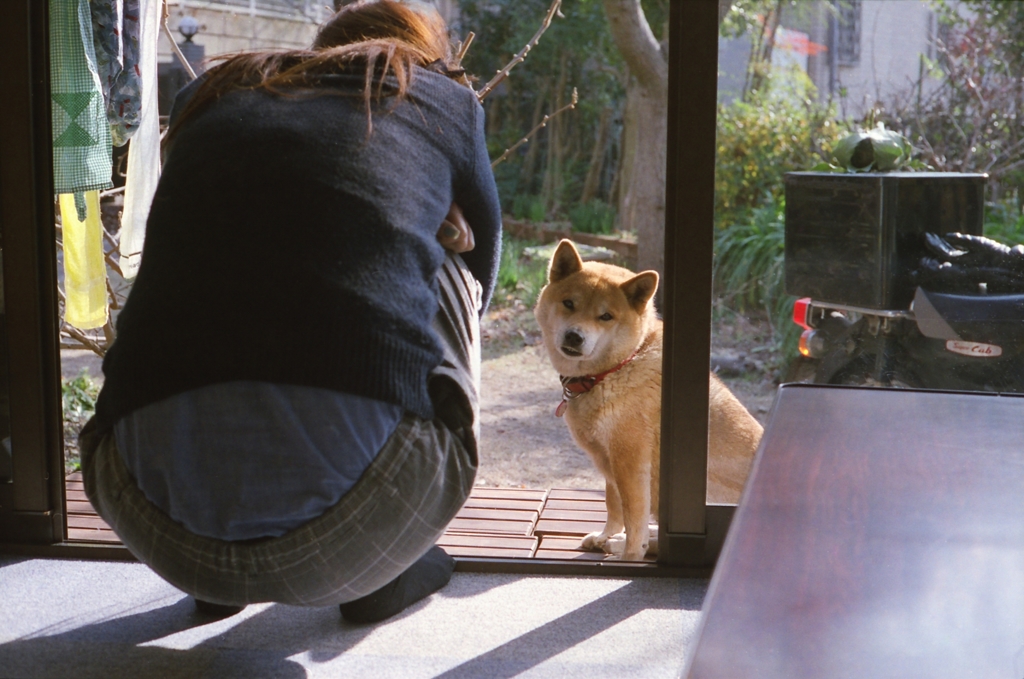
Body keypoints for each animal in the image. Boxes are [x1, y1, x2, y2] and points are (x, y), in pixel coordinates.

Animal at [536, 241, 761, 561]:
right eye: (569, 303)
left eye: (606, 316)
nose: (574, 336)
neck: (619, 366)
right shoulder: (609, 460)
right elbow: (614, 506)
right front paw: (607, 535)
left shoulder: (630, 461)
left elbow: (634, 518)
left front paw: (630, 555)